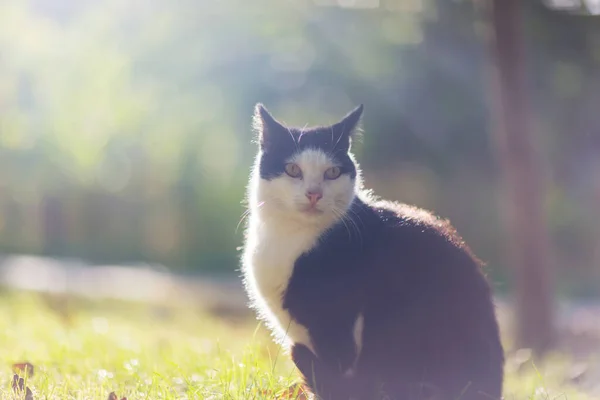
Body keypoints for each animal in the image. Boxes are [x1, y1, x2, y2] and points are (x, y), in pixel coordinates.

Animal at [241, 104, 504, 400]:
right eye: (293, 169)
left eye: (332, 172)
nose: (314, 194)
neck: (289, 237)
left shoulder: (335, 326)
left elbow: (332, 377)